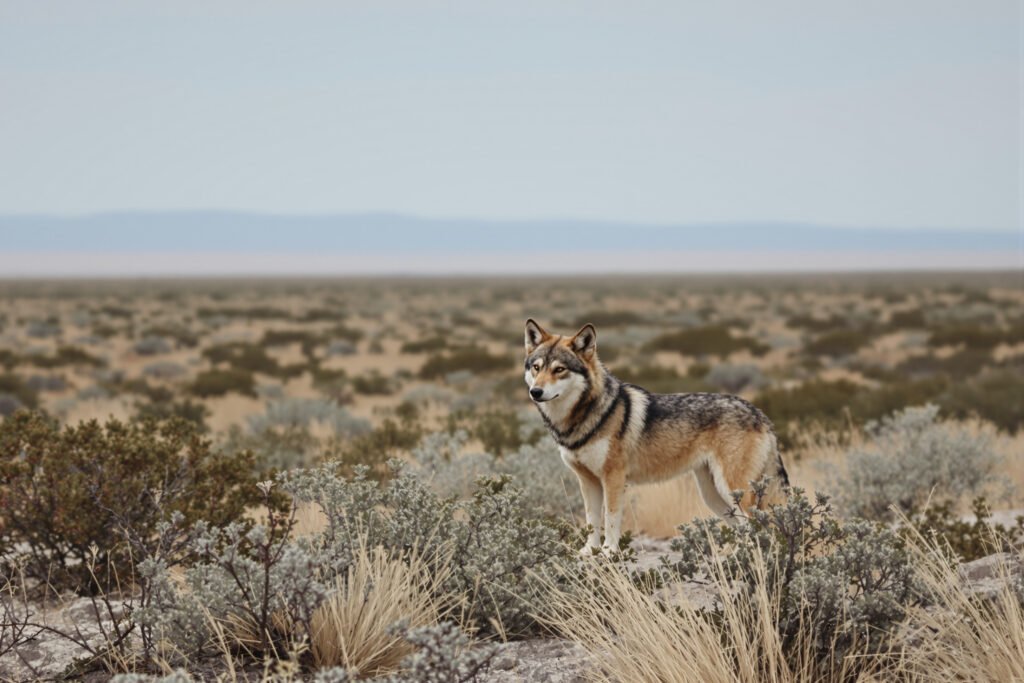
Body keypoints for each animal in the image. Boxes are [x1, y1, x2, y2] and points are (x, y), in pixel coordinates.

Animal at [524, 319, 789, 555]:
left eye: (559, 369)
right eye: (536, 367)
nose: (535, 392)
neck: (582, 417)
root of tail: (760, 413)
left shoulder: (613, 478)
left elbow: (611, 519)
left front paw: (609, 552)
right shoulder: (587, 481)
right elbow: (591, 521)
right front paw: (589, 551)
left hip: (734, 491)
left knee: (759, 526)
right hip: (714, 495)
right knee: (745, 529)